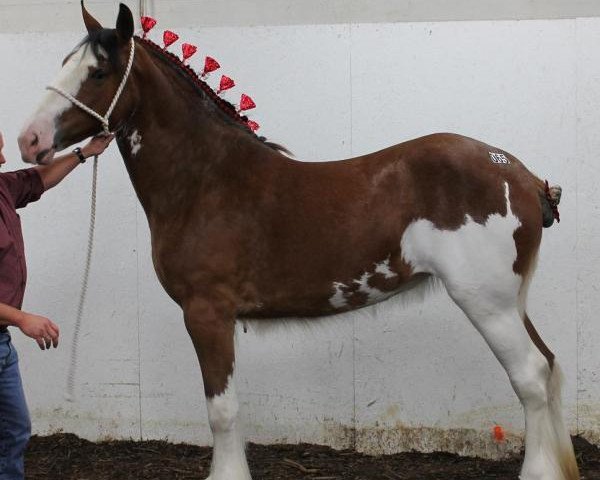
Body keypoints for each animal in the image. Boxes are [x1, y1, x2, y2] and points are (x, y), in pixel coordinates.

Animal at [18, 3, 580, 480]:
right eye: (65, 62)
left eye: (97, 72)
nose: (28, 140)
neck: (206, 180)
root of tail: (523, 175)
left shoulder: (207, 313)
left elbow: (222, 410)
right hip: (509, 300)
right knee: (549, 366)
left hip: (485, 302)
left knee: (531, 377)